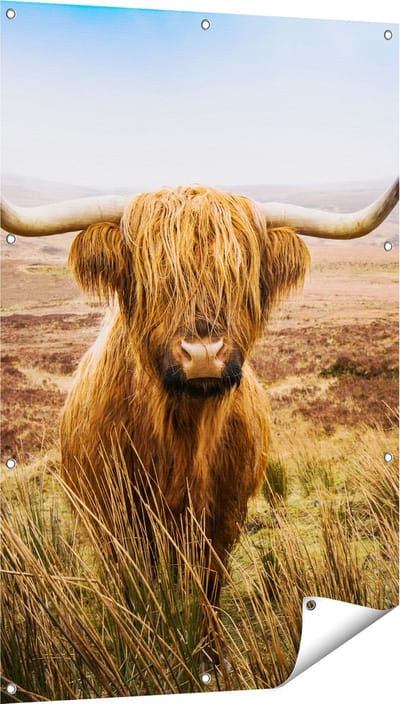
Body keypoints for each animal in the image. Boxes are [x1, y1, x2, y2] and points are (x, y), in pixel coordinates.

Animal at [1, 181, 398, 622]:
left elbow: (207, 588)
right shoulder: (116, 520)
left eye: (239, 273)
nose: (204, 354)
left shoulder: (223, 519)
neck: (183, 437)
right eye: (154, 276)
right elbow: (138, 590)